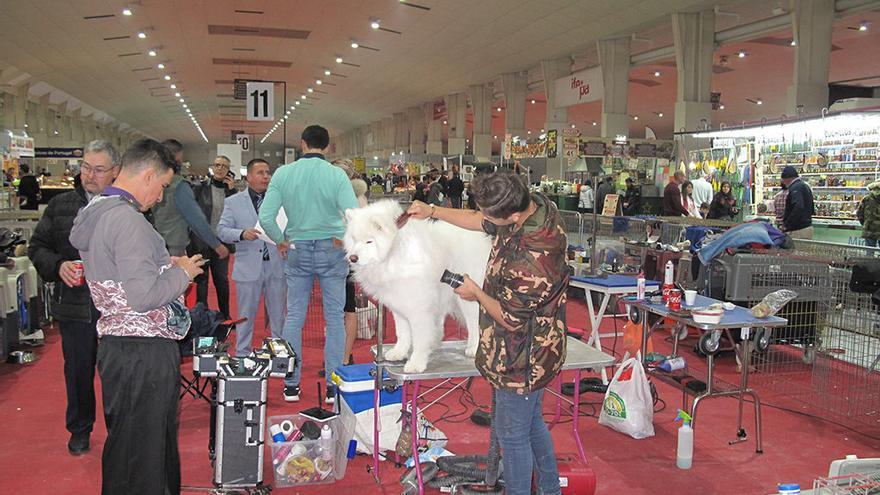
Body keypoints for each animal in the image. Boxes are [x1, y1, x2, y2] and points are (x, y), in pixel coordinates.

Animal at [346, 200, 496, 374]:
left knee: (474, 323)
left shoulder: (419, 308)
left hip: (467, 297)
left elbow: (419, 338)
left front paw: (416, 363)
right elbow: (402, 333)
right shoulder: (399, 305)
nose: (353, 258)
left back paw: (473, 348)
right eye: (354, 239)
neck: (394, 251)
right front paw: (398, 352)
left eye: (369, 241)